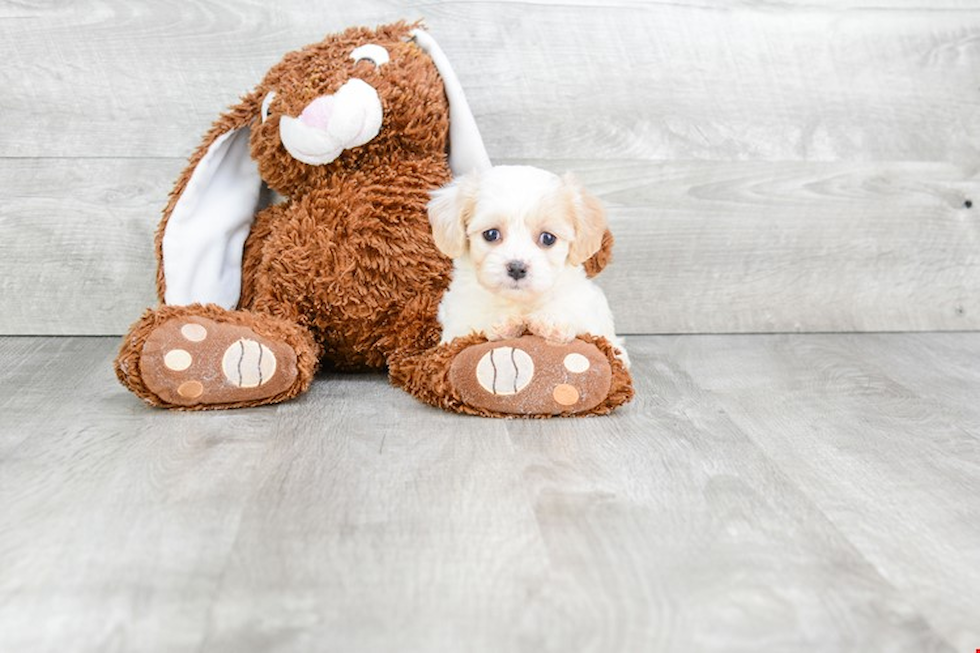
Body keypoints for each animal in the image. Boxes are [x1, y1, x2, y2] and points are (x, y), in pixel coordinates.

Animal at [426, 164, 628, 366]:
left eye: (548, 238)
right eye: (491, 234)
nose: (516, 268)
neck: (520, 302)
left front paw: (552, 321)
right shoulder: (458, 320)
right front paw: (503, 321)